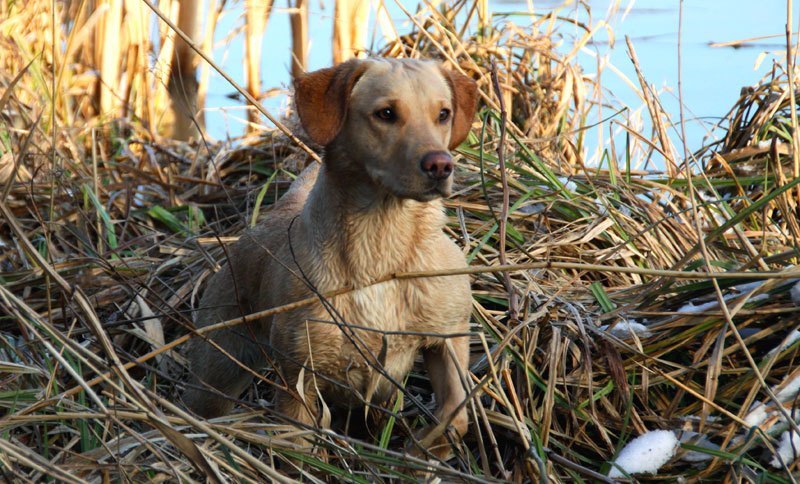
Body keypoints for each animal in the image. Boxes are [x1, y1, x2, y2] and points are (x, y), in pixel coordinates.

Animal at [184, 58, 478, 456]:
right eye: (386, 113)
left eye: (443, 114)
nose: (440, 165)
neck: (381, 247)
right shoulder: (299, 382)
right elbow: (300, 447)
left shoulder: (449, 338)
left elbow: (455, 418)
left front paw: (421, 450)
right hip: (216, 371)